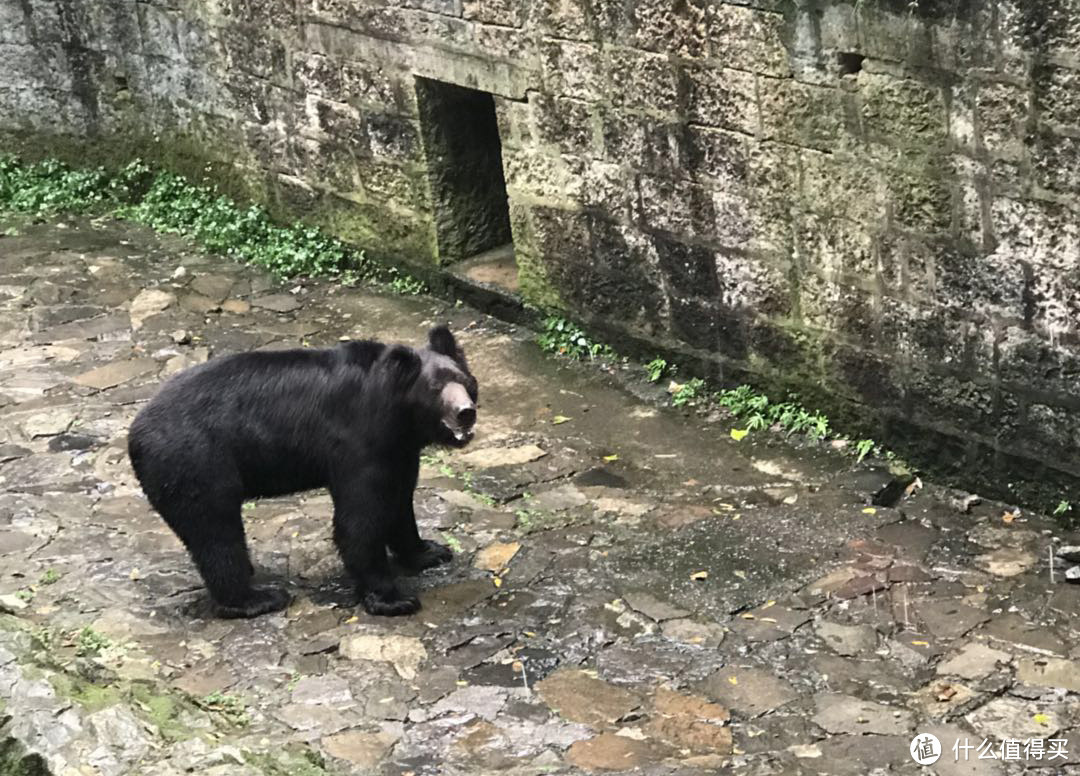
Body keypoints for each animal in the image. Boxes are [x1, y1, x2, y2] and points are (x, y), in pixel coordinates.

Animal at [126, 328, 477, 617]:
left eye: (465, 381)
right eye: (435, 388)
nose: (466, 413)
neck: (397, 416)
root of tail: (135, 434)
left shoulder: (398, 449)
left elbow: (399, 499)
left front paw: (429, 551)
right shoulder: (357, 441)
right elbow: (360, 518)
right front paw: (393, 599)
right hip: (195, 462)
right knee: (215, 531)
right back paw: (257, 598)